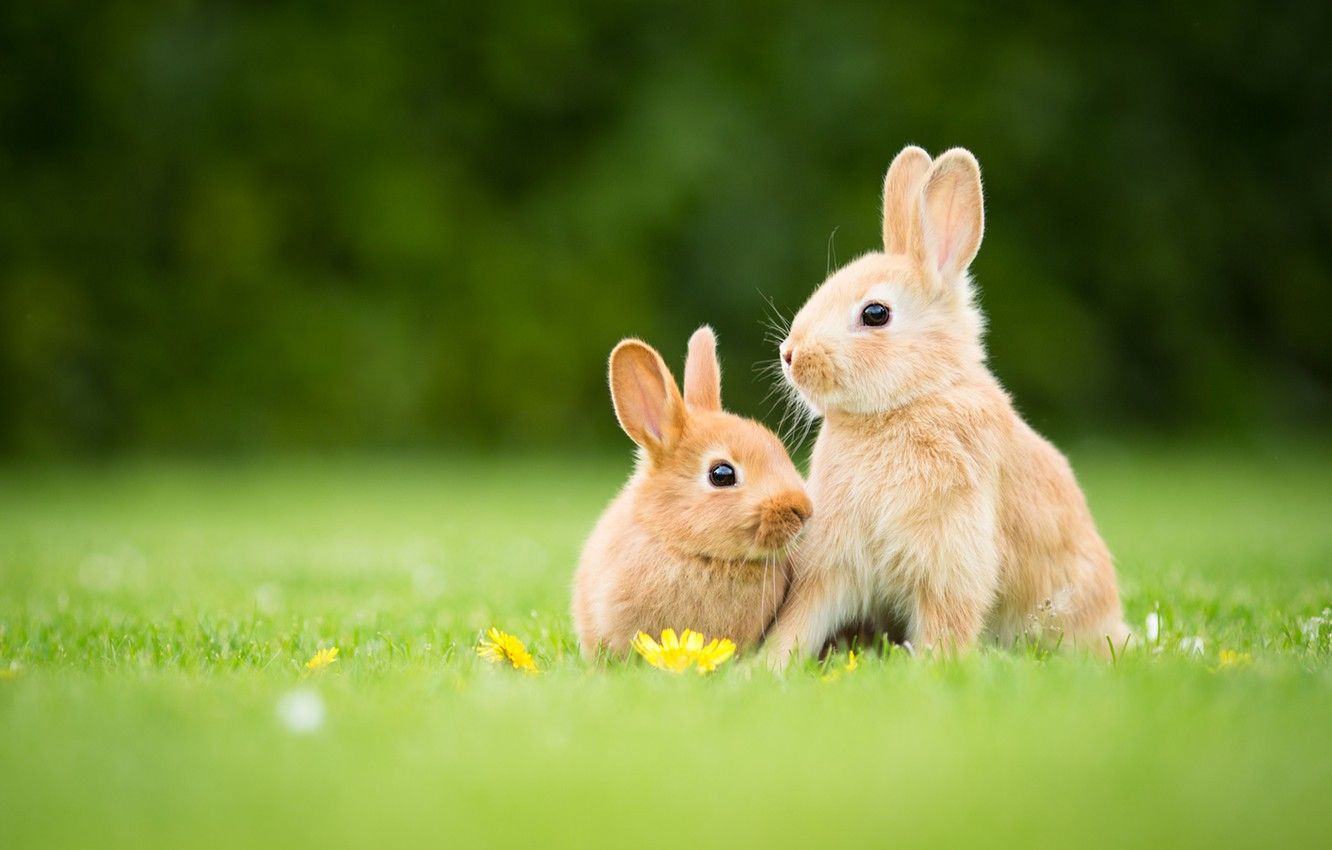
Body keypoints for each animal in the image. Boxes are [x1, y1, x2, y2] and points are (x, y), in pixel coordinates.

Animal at [767, 143, 1129, 668]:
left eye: (875, 313)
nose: (790, 354)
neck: (912, 398)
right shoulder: (834, 561)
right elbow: (801, 620)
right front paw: (763, 666)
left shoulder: (951, 557)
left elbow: (946, 623)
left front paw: (932, 669)